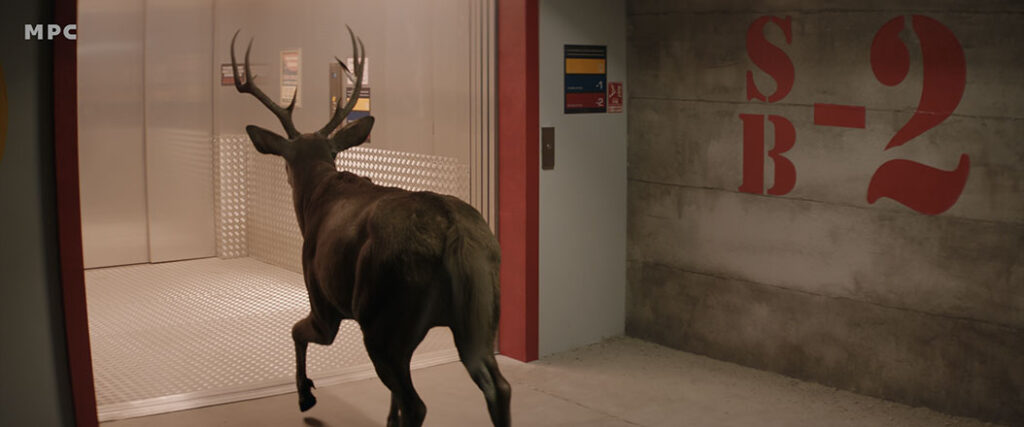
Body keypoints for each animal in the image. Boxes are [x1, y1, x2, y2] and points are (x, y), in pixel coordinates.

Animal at [229, 28, 511, 427]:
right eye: (330, 151)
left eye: (286, 160)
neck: (316, 198)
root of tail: (453, 232)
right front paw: (385, 418)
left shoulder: (324, 300)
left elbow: (296, 331)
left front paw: (305, 396)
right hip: (481, 311)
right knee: (497, 387)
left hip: (382, 314)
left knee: (417, 402)